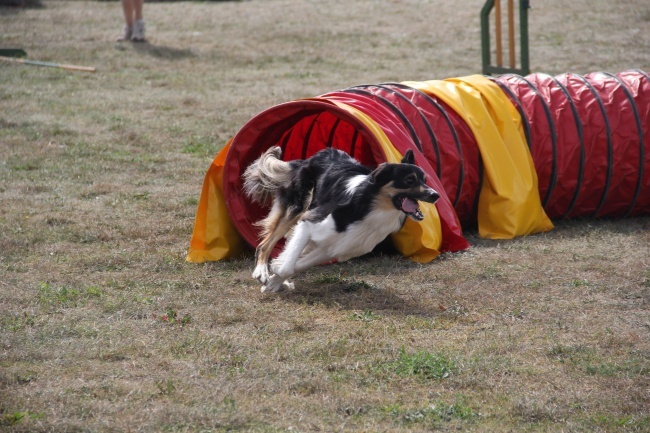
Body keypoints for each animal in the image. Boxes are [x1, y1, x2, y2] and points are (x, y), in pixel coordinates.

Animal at [240, 147, 438, 292]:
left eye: (424, 180)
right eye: (409, 180)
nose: (435, 195)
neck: (371, 209)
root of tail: (308, 159)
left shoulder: (333, 248)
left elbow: (296, 265)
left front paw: (275, 281)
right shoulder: (309, 221)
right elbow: (288, 266)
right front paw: (274, 275)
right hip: (298, 207)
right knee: (265, 244)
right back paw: (261, 271)